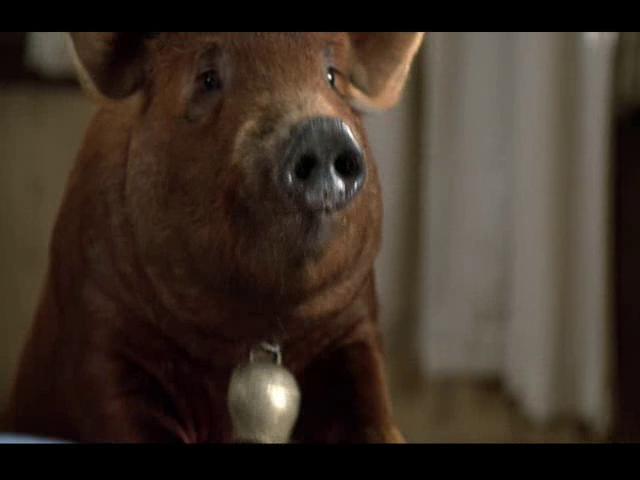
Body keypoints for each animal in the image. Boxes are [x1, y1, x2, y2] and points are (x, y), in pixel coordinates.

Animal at [4, 32, 424, 443]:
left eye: (332, 76)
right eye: (207, 79)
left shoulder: (356, 327)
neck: (255, 337)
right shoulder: (98, 324)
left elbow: (370, 416)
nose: (322, 134)